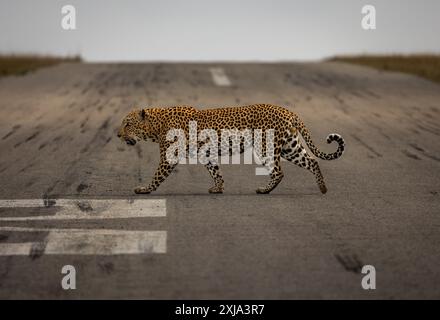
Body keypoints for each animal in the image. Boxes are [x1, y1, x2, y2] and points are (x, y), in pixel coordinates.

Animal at [117, 104, 344, 195]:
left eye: (127, 124)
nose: (118, 135)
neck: (156, 126)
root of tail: (288, 111)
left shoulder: (168, 157)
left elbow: (157, 176)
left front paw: (144, 189)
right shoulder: (206, 154)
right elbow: (215, 171)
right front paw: (218, 188)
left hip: (266, 145)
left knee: (279, 171)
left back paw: (264, 190)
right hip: (290, 146)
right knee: (312, 161)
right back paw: (323, 188)